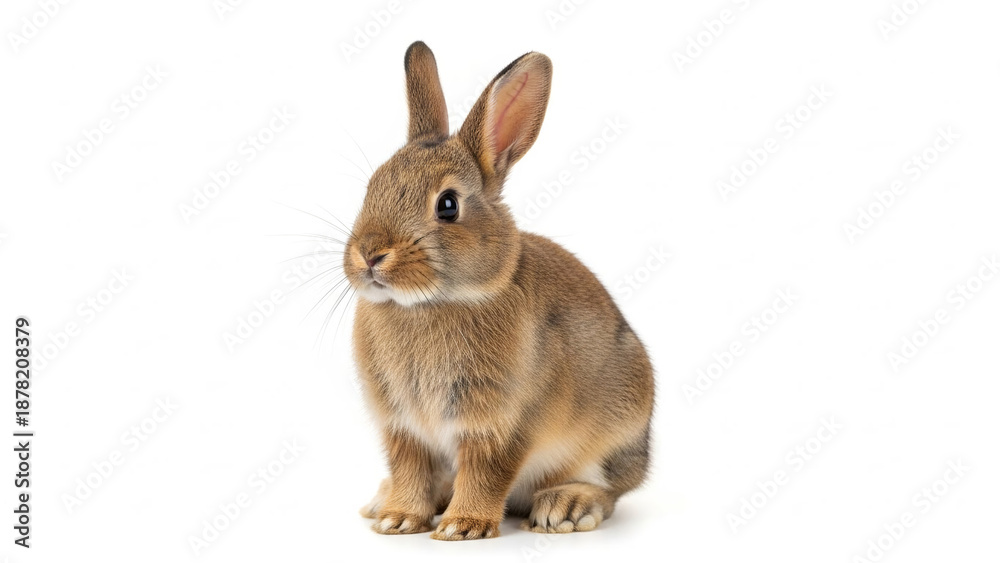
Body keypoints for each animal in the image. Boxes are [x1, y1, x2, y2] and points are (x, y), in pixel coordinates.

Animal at [344, 41, 654, 540]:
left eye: (447, 205)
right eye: (373, 186)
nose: (370, 255)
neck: (431, 303)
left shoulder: (502, 423)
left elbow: (487, 471)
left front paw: (462, 526)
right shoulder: (403, 427)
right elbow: (410, 469)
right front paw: (399, 518)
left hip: (614, 432)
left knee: (608, 490)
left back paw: (566, 507)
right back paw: (381, 501)